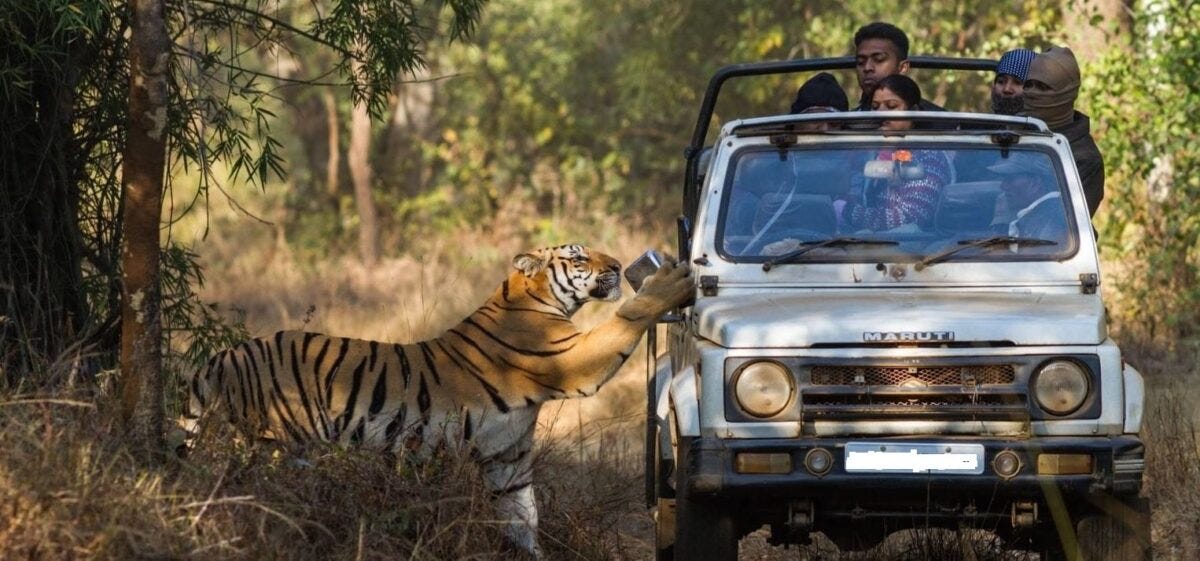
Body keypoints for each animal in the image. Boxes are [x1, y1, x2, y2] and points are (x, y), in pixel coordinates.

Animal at [178, 244, 693, 559]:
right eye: (579, 255)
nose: (617, 265)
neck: (532, 297)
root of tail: (219, 358)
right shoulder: (574, 360)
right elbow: (626, 319)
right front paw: (669, 283)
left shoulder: (508, 456)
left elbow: (523, 516)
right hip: (272, 446)